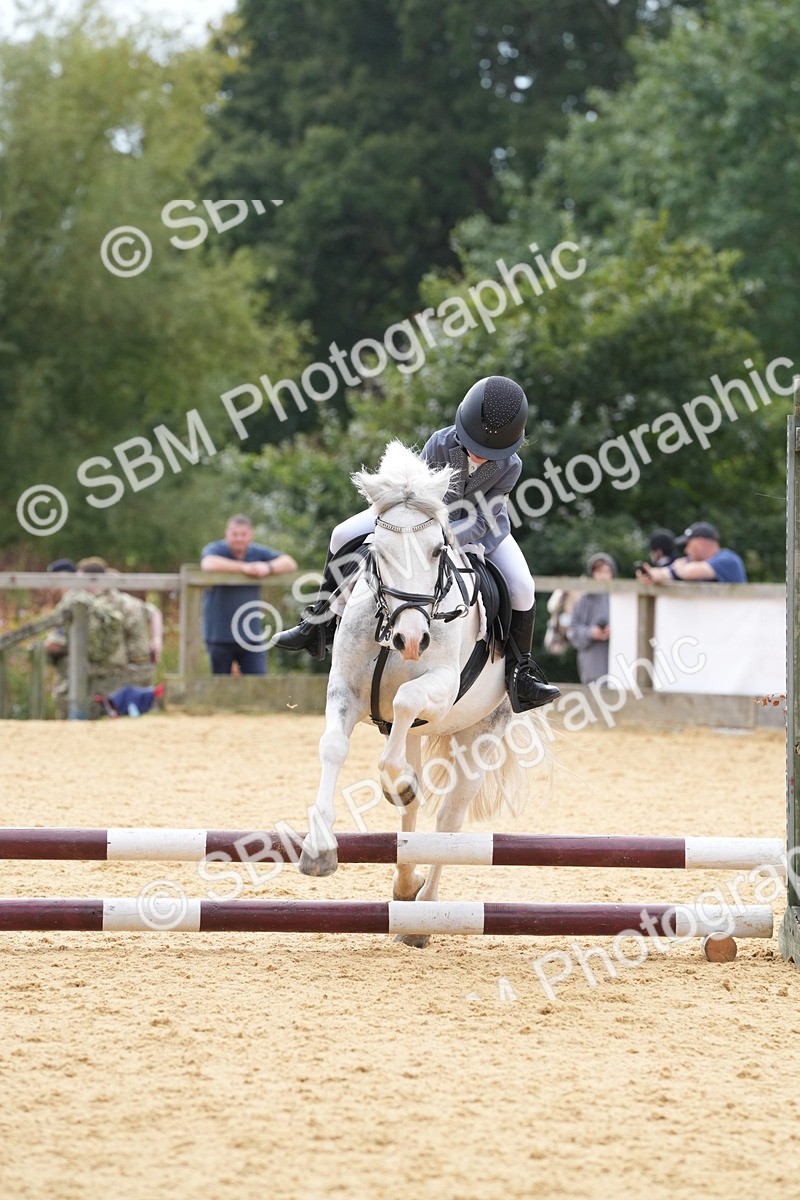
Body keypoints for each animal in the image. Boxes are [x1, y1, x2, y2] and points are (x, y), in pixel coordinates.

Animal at [297, 440, 539, 946]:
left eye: (435, 551)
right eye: (378, 553)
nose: (411, 640)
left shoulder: (440, 688)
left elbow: (407, 700)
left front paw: (398, 786)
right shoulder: (345, 692)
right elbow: (334, 748)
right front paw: (319, 849)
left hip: (480, 732)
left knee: (447, 820)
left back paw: (425, 911)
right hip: (412, 733)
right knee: (412, 813)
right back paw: (405, 885)